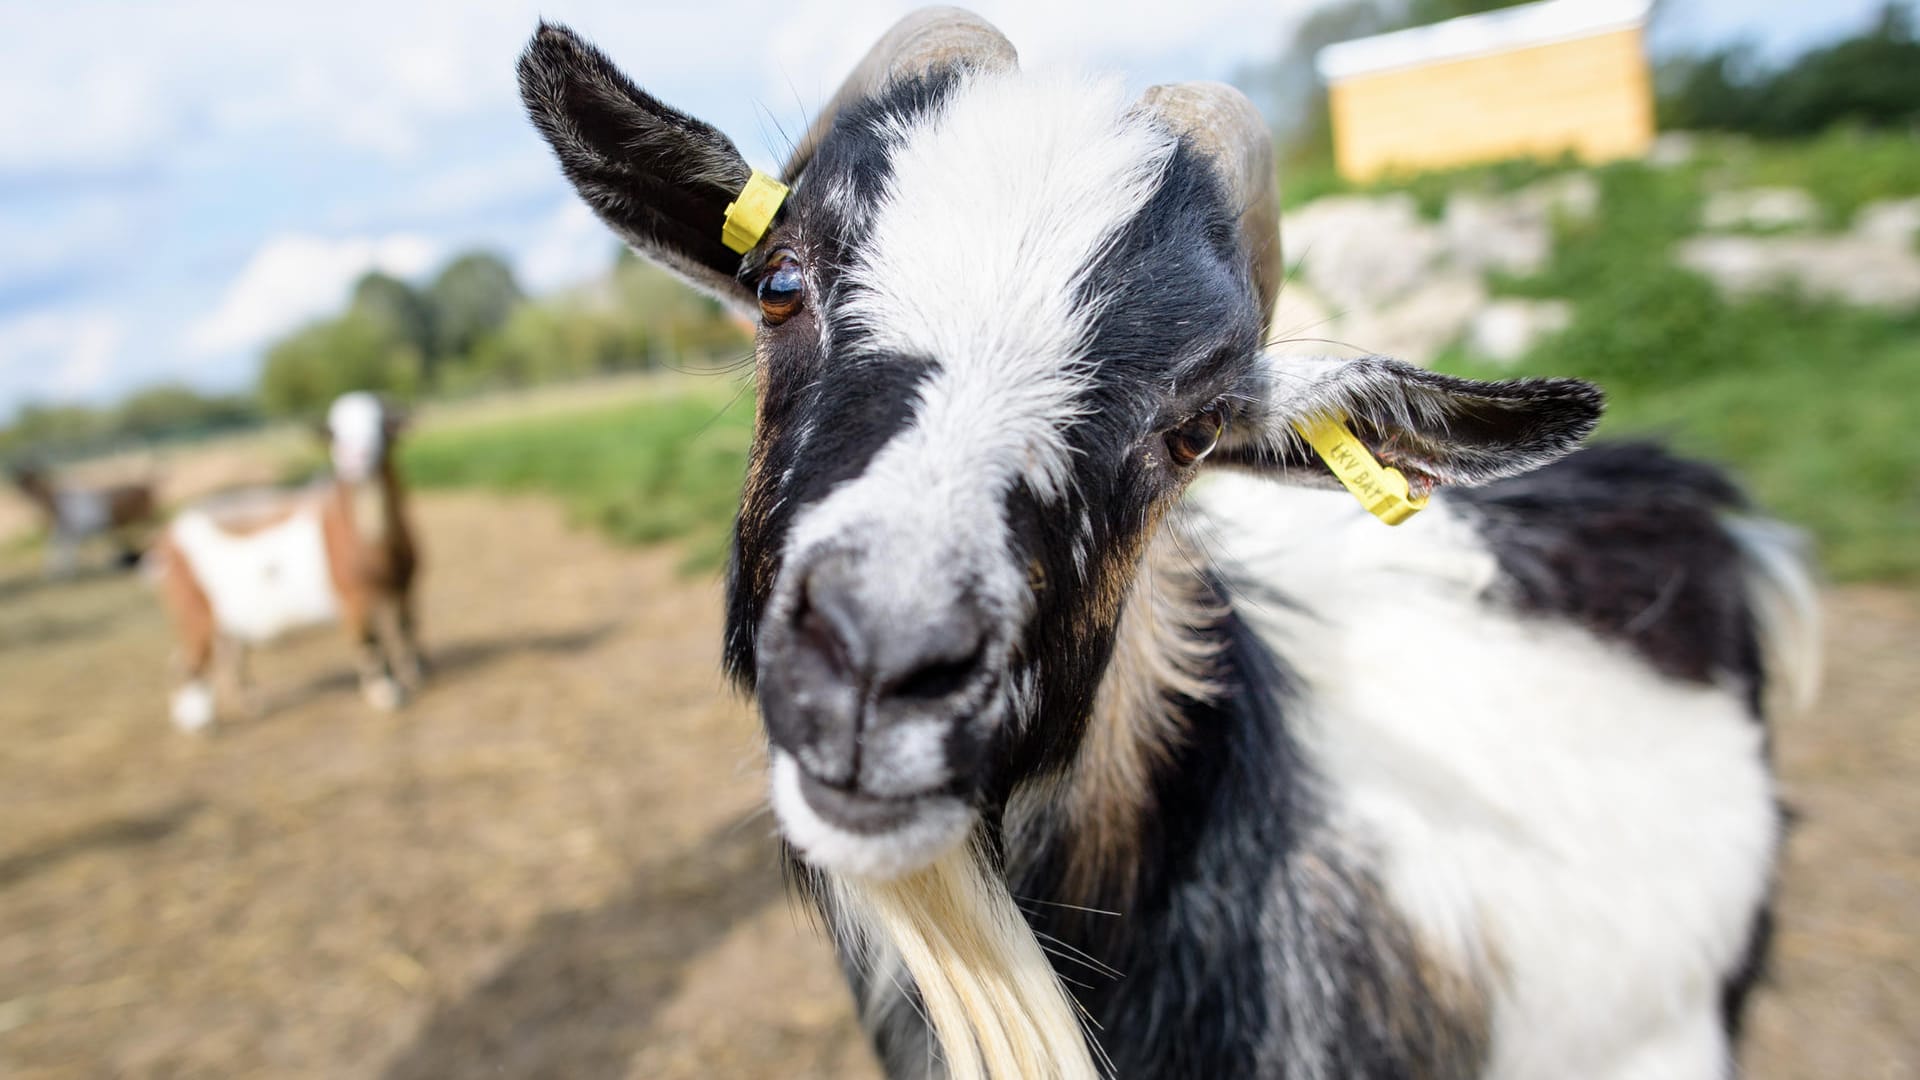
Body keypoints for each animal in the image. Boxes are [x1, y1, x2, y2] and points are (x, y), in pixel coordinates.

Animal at [9, 461, 159, 576]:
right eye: (19, 481)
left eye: (26, 479)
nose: (18, 493)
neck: (56, 503)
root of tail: (146, 485)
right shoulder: (63, 532)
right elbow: (57, 549)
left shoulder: (71, 532)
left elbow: (64, 550)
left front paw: (64, 573)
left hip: (145, 517)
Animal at [150, 393, 424, 730]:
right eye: (334, 433)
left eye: (384, 426)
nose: (354, 458)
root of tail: (165, 538)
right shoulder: (352, 596)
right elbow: (369, 641)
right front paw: (386, 693)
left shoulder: (405, 584)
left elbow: (406, 626)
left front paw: (415, 675)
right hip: (191, 608)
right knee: (190, 658)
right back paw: (198, 721)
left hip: (225, 614)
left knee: (227, 653)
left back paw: (250, 703)